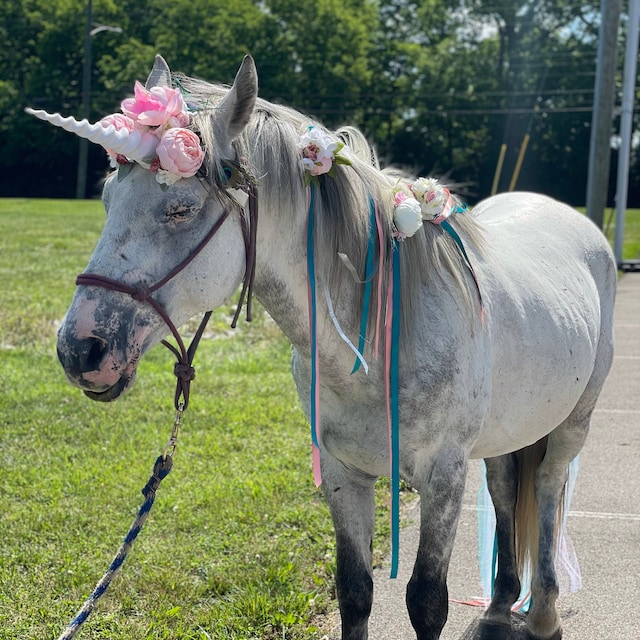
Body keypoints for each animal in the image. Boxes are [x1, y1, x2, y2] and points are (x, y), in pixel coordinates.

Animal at [27, 55, 616, 640]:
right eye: (107, 200)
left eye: (180, 209)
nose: (80, 349)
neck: (374, 347)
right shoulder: (341, 473)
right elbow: (354, 590)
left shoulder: (444, 476)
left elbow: (427, 601)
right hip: (508, 427)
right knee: (504, 484)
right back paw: (499, 605)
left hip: (572, 422)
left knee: (546, 487)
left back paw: (543, 612)